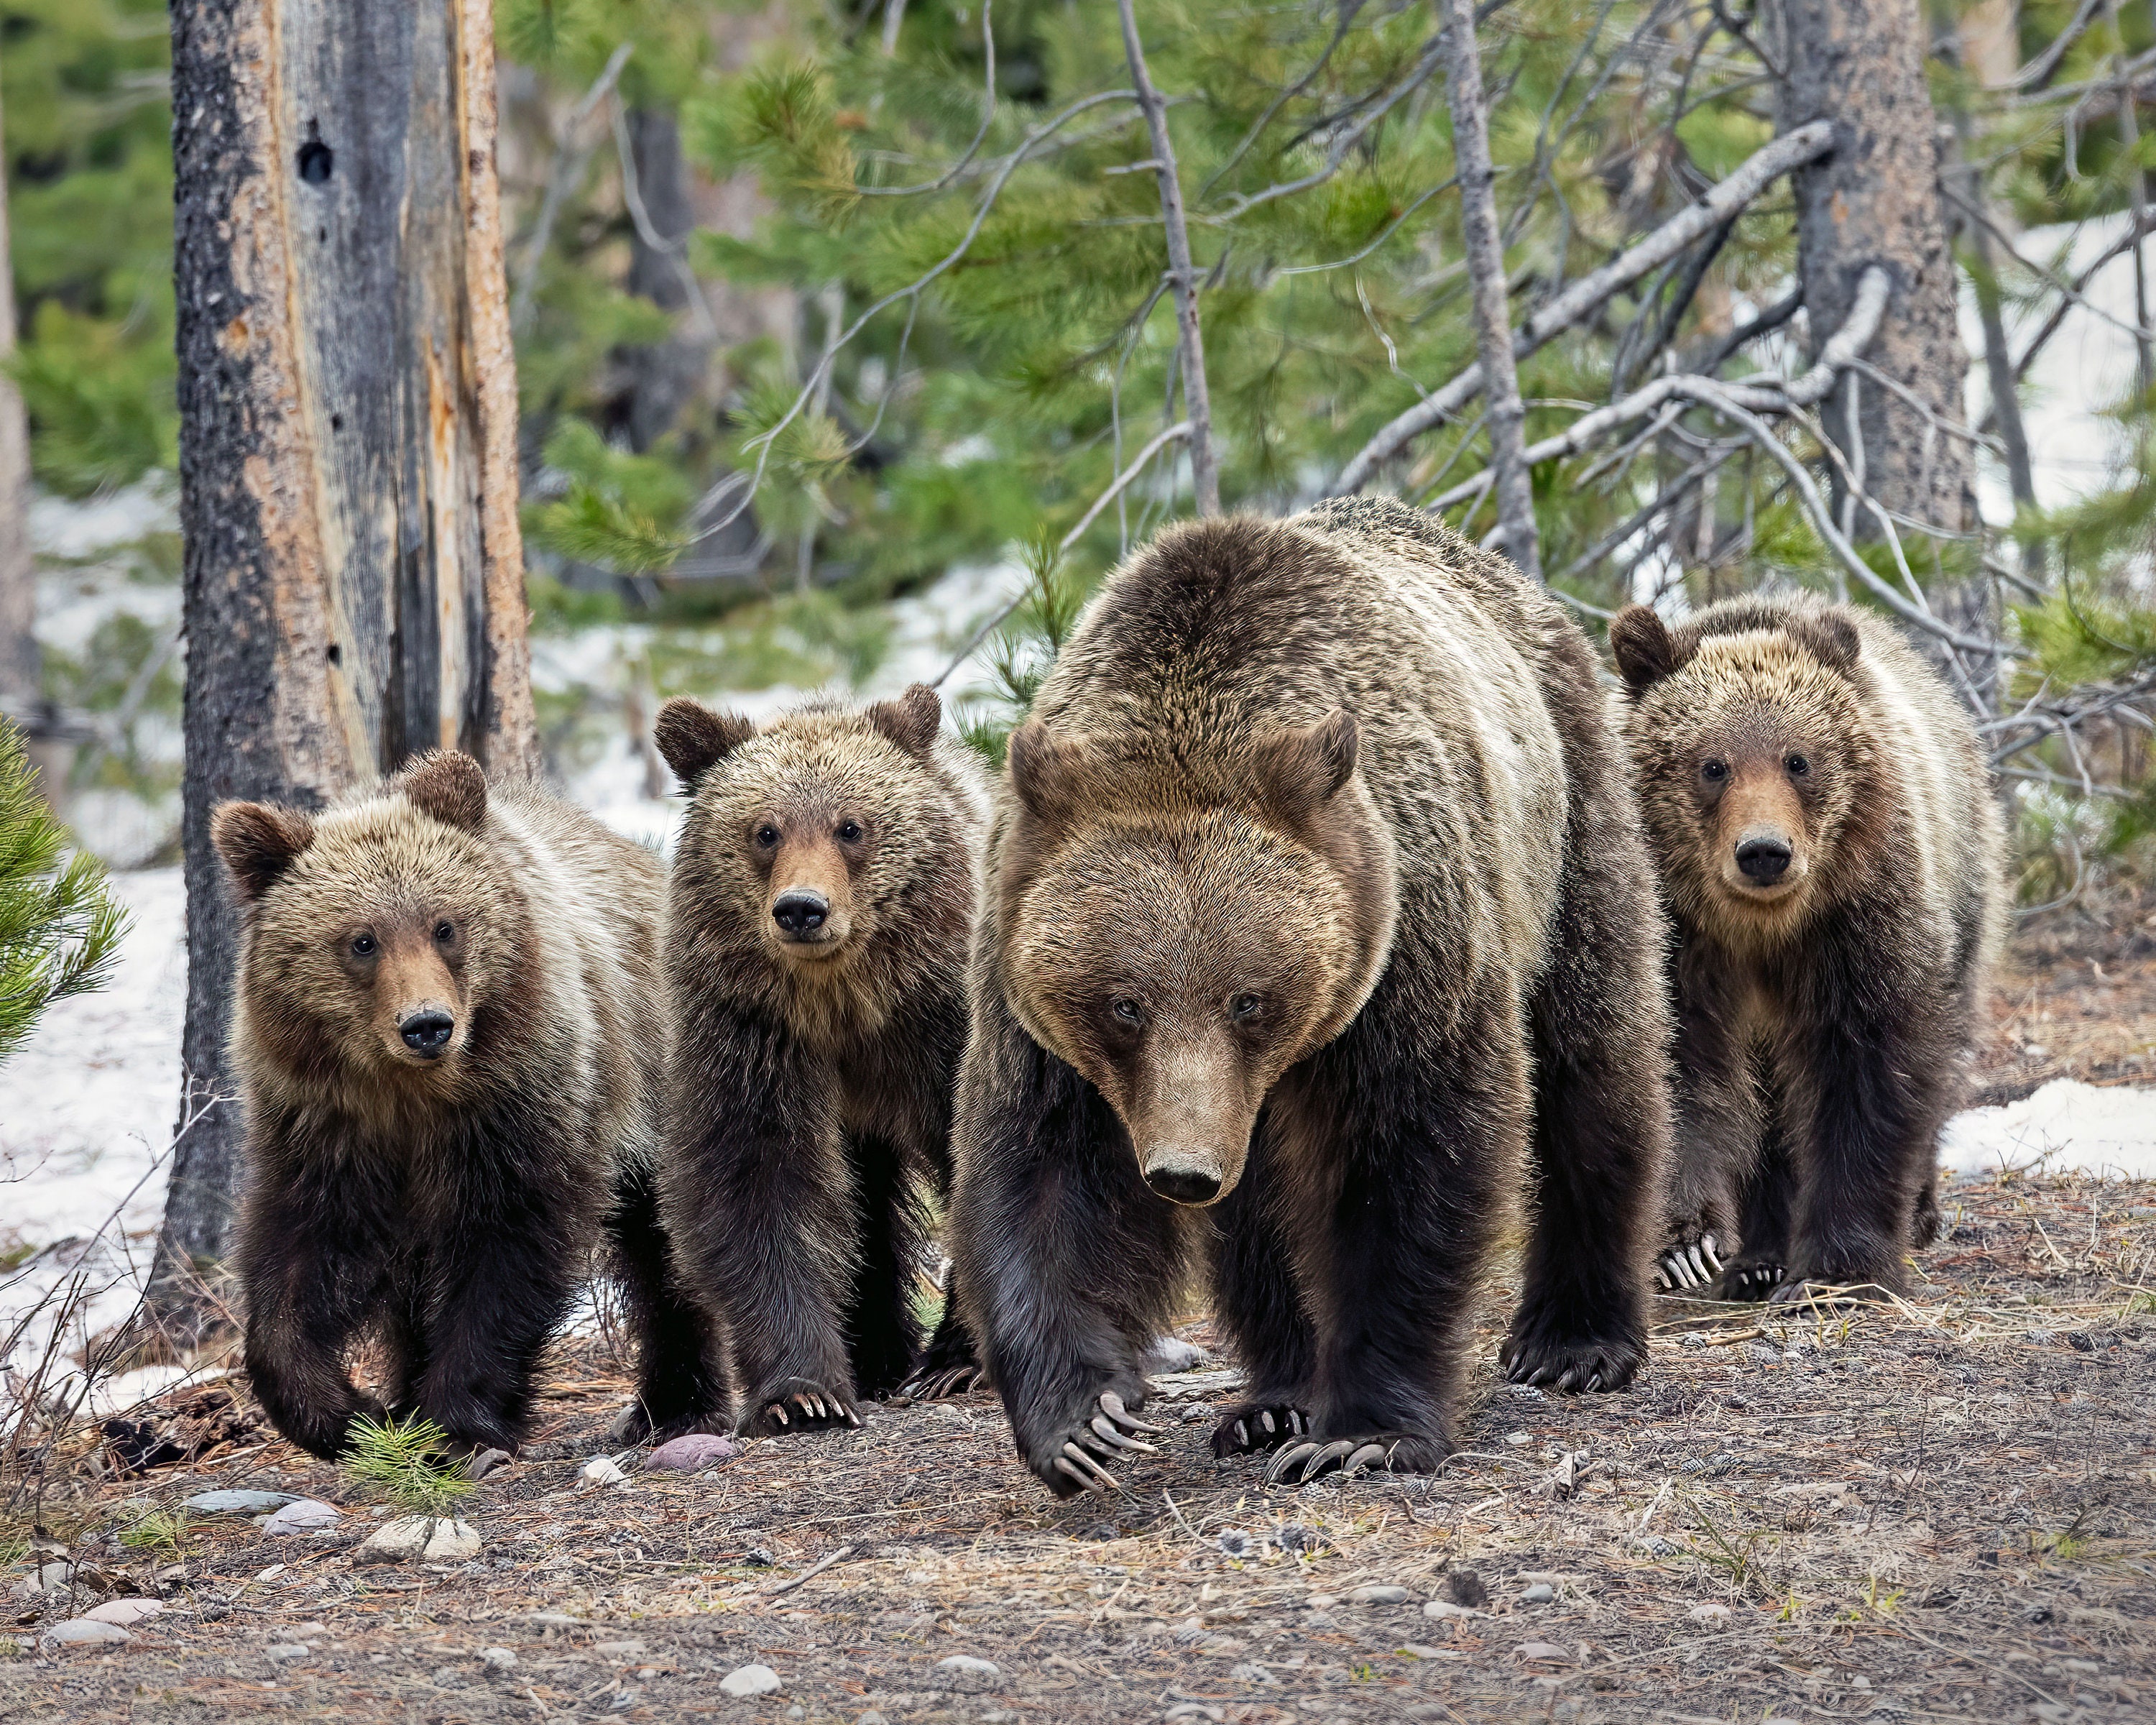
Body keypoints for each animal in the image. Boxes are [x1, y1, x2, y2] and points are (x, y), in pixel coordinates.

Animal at [213, 751, 718, 1462]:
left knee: (665, 1241)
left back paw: (673, 1404)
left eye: (445, 925)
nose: (427, 1025)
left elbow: (505, 1244)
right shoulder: (326, 1126)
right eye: (362, 940)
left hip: (660, 1074)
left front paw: (455, 1423)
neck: (415, 1095)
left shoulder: (520, 1102)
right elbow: (301, 1257)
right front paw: (351, 1412)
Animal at [652, 683, 990, 1437]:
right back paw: (878, 1356)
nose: (801, 909)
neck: (845, 1004)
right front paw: (803, 1393)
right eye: (765, 831)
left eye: (851, 827)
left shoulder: (941, 1026)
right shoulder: (752, 1034)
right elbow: (757, 1184)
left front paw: (958, 1358)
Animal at [943, 498, 1674, 1497]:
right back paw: (1273, 1398)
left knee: (1592, 1060)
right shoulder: (1030, 985)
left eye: (1249, 999)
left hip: (1566, 825)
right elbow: (1041, 1170)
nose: (1181, 1171)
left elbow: (1409, 1154)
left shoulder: (1407, 933)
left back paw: (1575, 1339)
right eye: (1124, 1003)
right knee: (1258, 1212)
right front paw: (1083, 1421)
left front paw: (1362, 1430)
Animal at [1607, 595, 2007, 1304]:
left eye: (1799, 760)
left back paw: (1919, 1212)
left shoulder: (1856, 925)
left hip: (1965, 888)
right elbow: (1678, 1070)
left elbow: (1866, 1073)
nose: (1765, 851)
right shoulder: (1678, 940)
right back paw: (1760, 1258)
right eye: (1713, 765)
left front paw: (1837, 1268)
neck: (1760, 929)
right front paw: (1685, 1246)